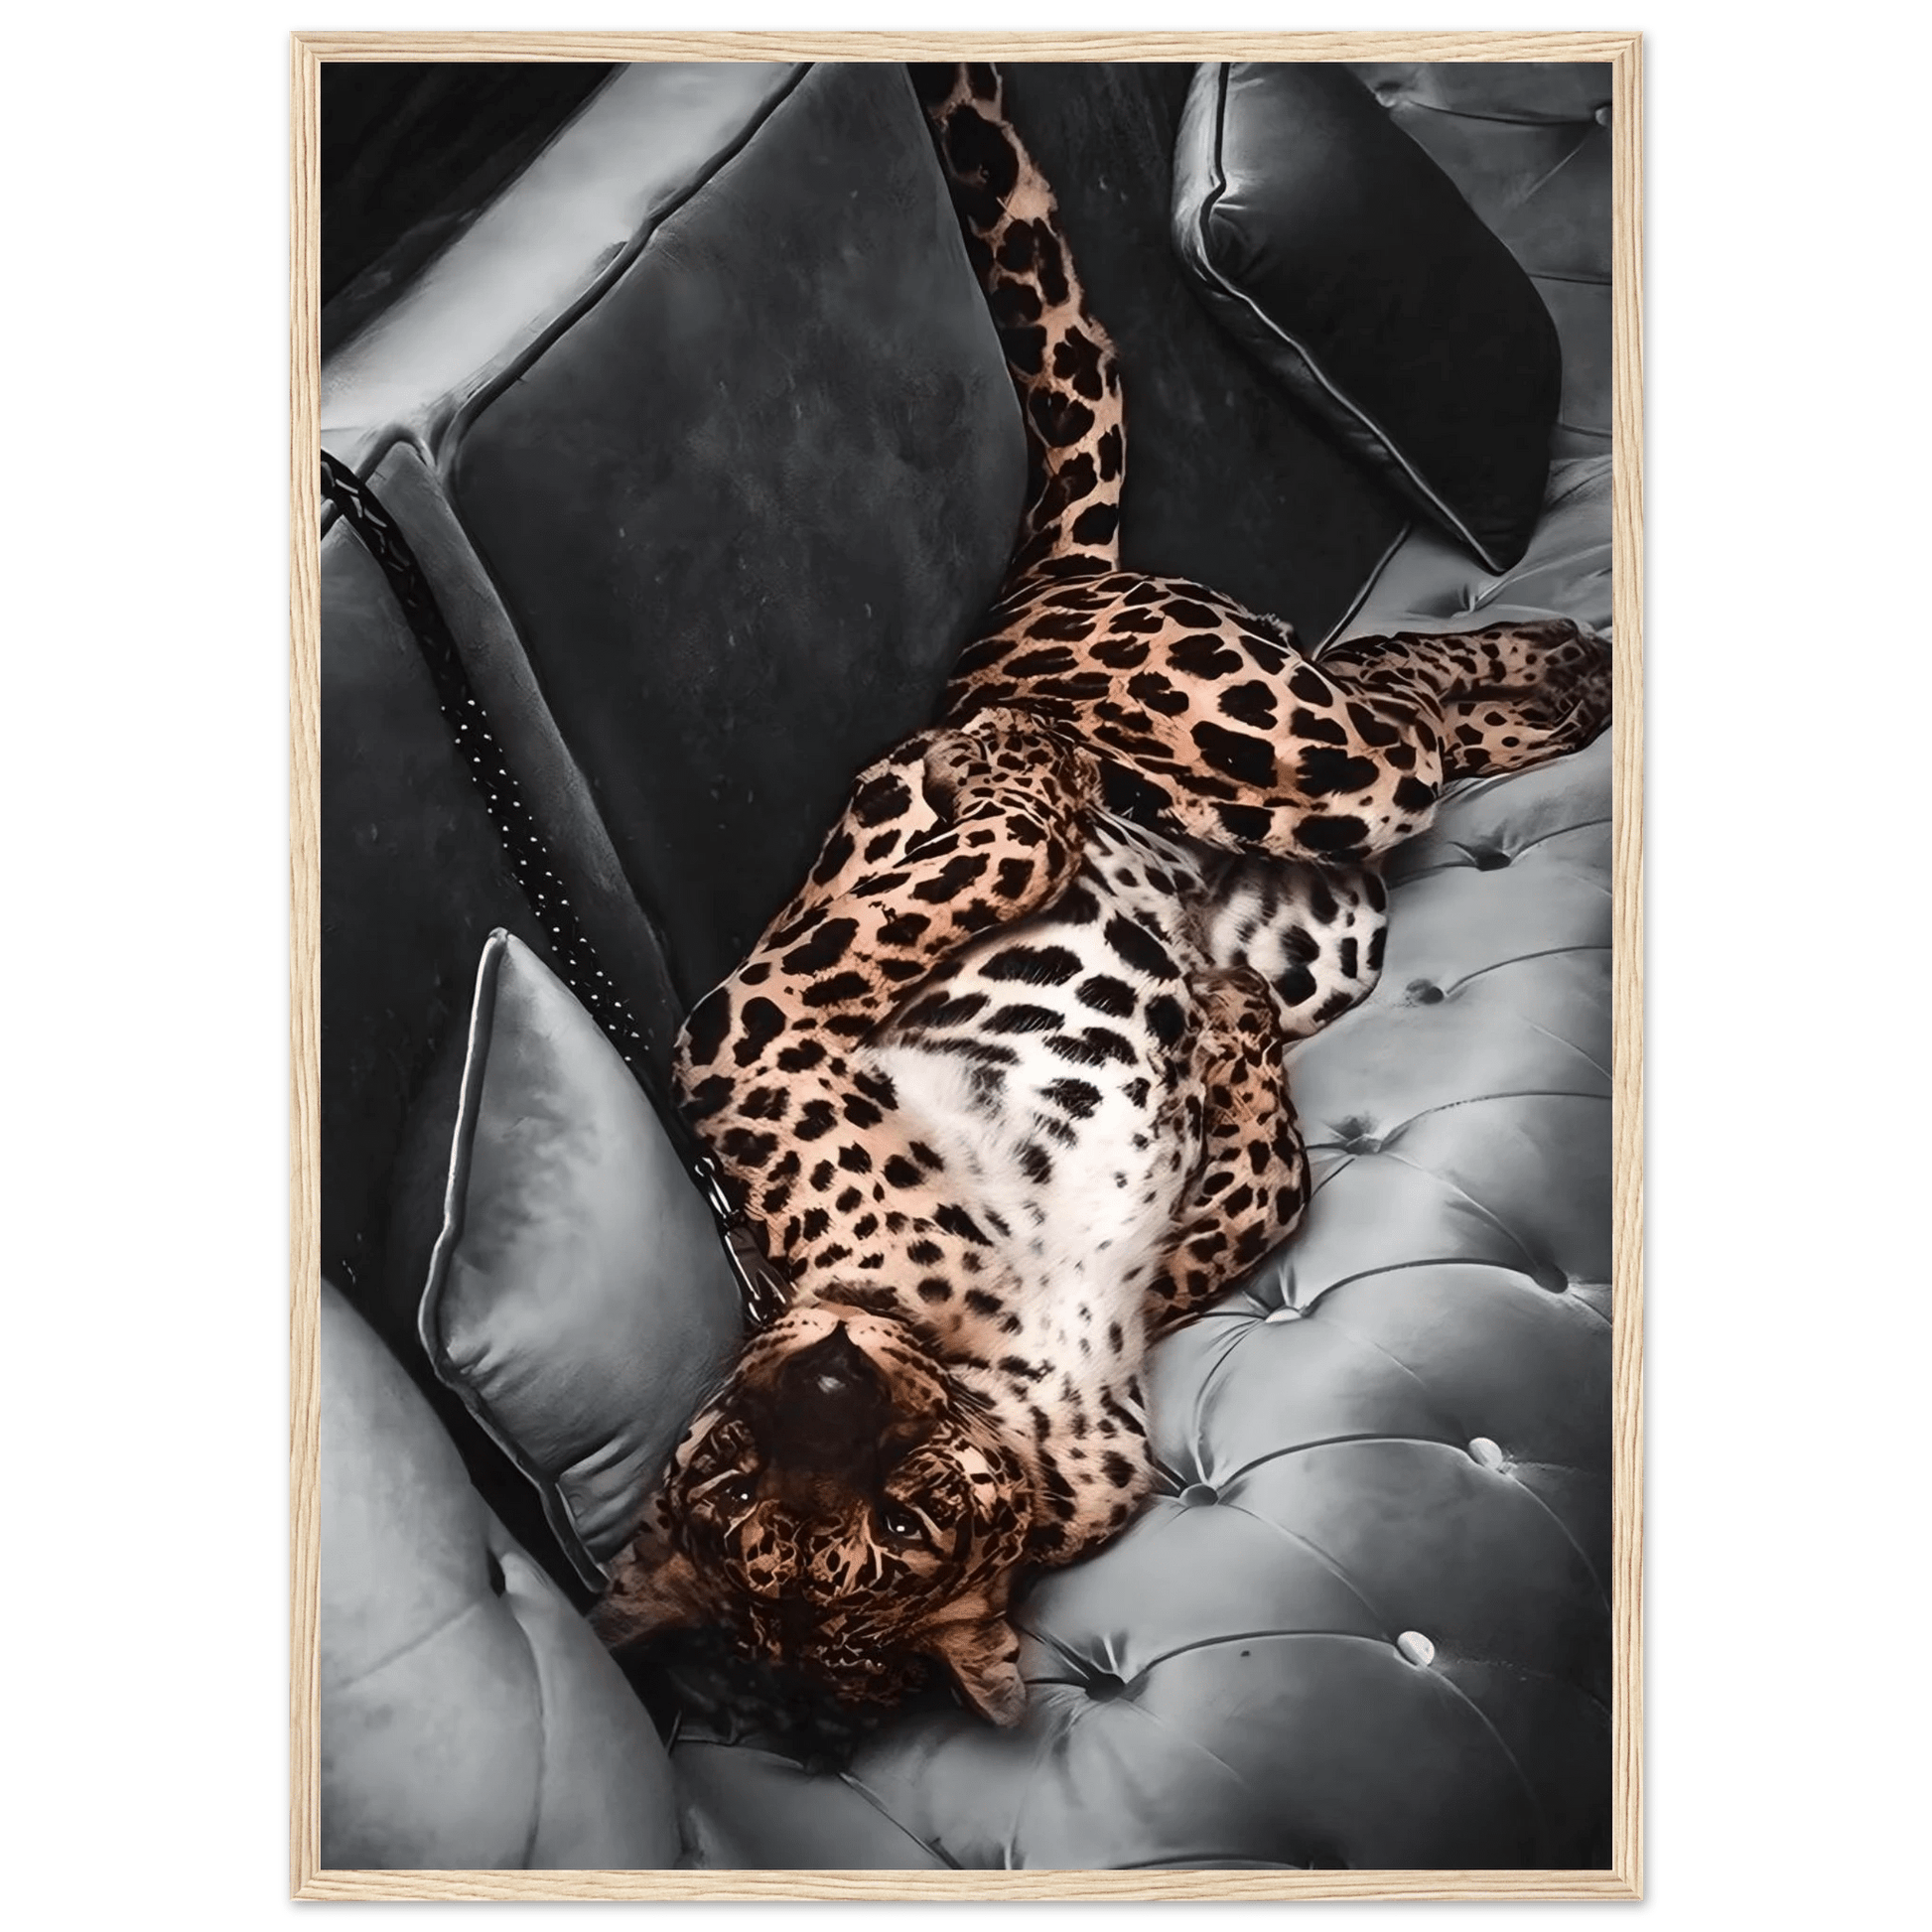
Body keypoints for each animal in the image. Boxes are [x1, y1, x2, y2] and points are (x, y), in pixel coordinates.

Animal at [594, 62, 1611, 1728]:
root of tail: (1025, 599)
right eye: (769, 1508)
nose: (821, 1373)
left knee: (1381, 693)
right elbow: (1260, 1187)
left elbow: (975, 865)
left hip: (1264, 739)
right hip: (1314, 880)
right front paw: (1222, 1047)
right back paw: (1554, 684)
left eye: (737, 1476)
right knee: (1401, 707)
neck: (993, 1376)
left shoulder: (746, 1031)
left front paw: (1011, 783)